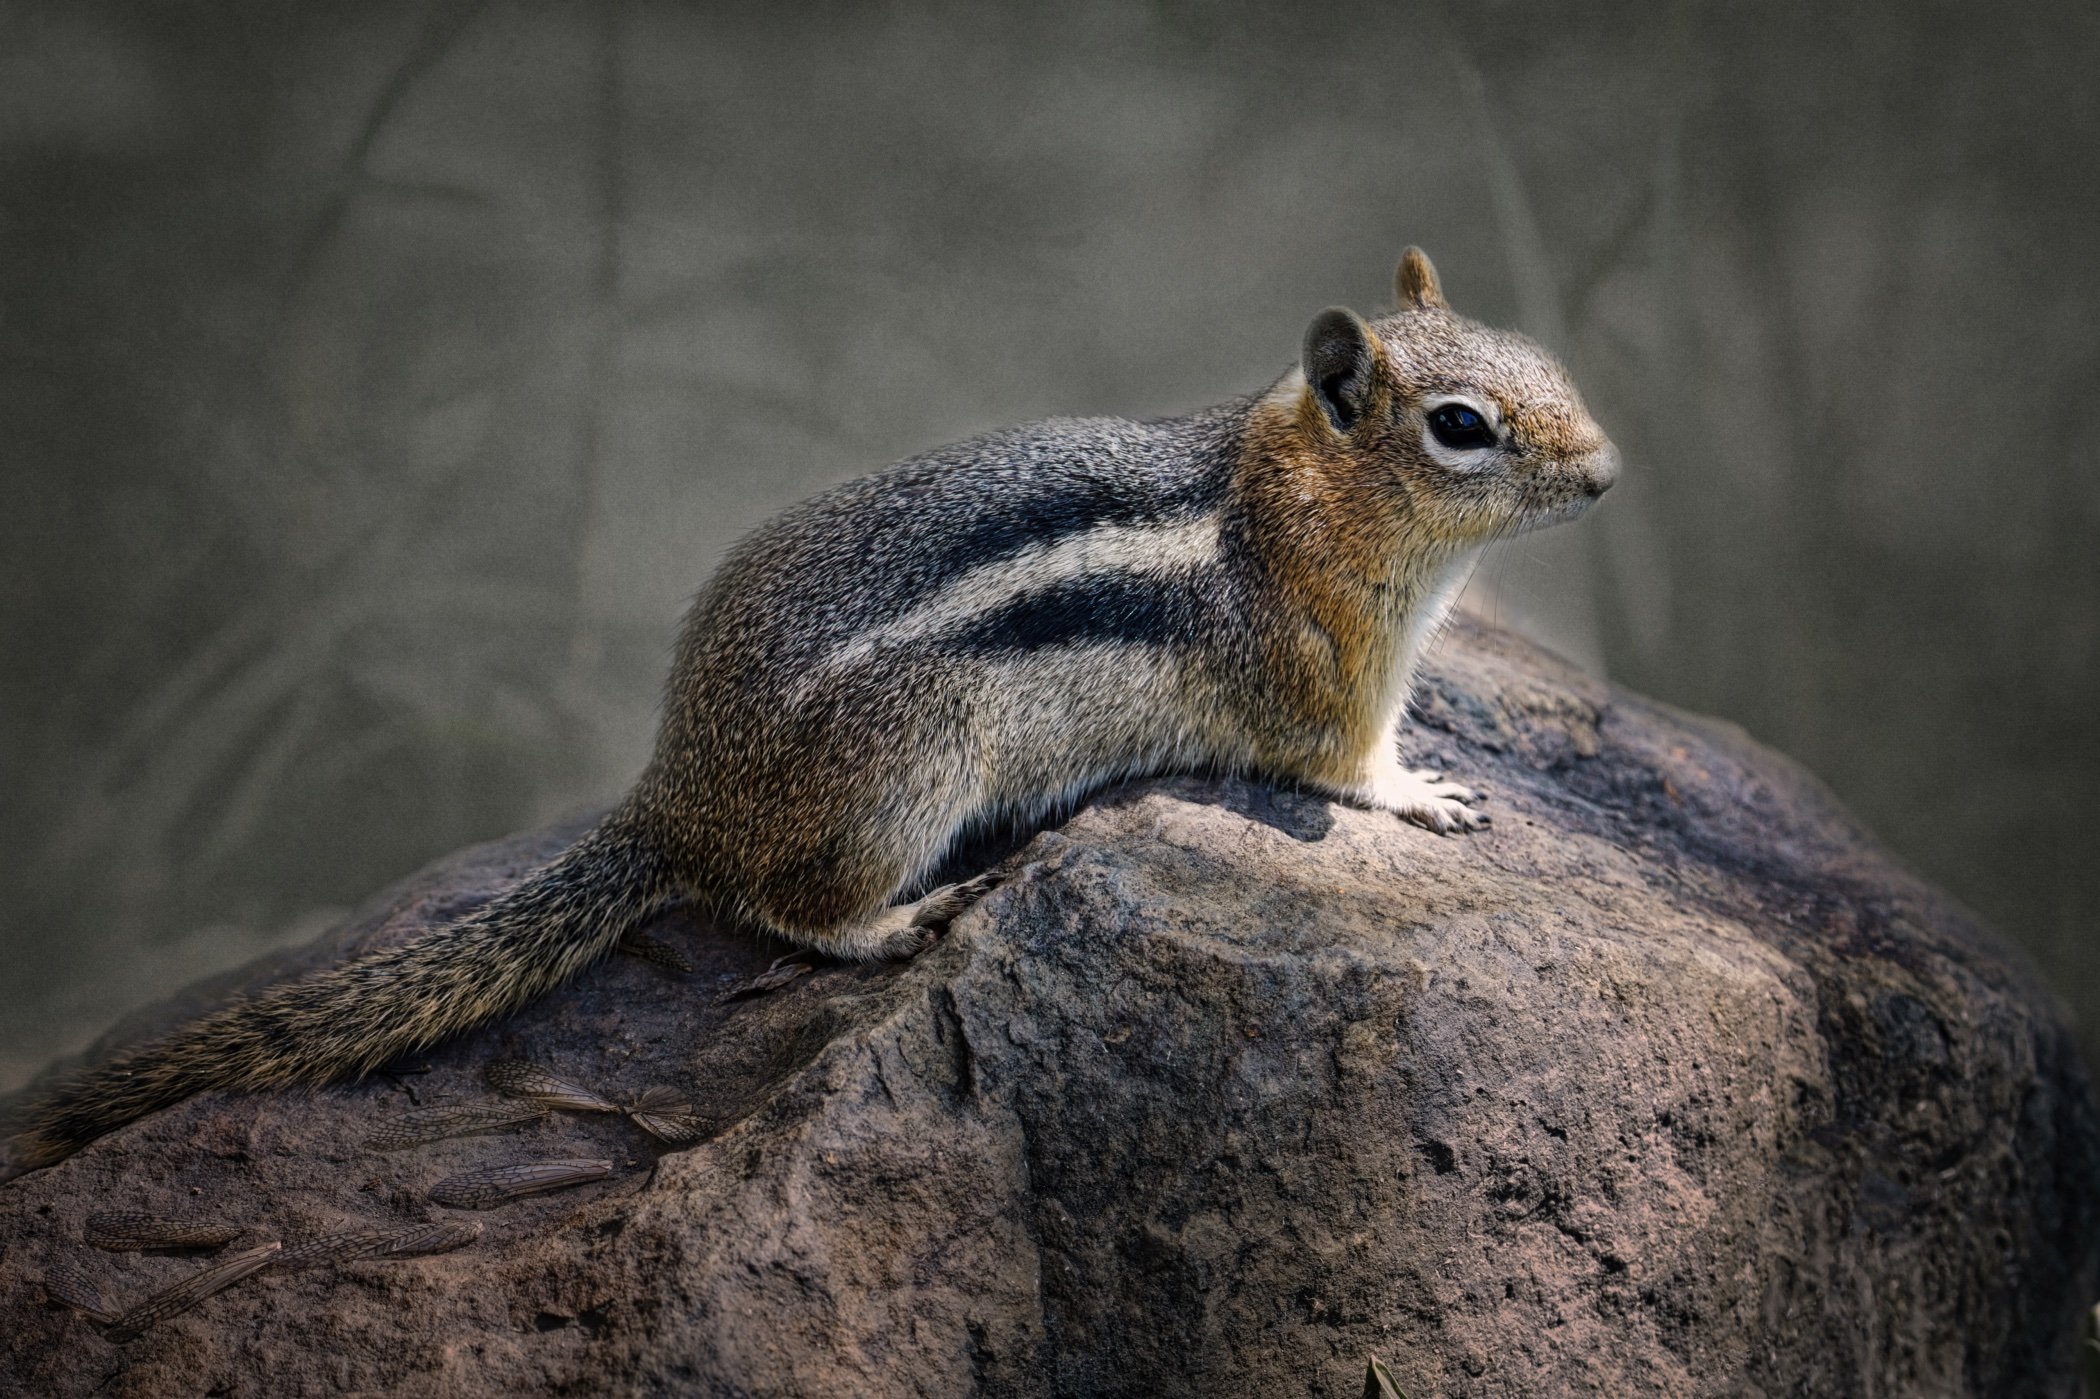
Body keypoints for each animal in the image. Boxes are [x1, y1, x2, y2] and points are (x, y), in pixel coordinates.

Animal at [8, 248, 1617, 1171]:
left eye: (1553, 365)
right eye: (1460, 427)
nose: (1607, 474)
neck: (1300, 501)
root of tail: (676, 796)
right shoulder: (1322, 679)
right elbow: (1348, 771)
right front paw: (1426, 792)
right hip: (908, 775)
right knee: (785, 909)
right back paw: (897, 921)